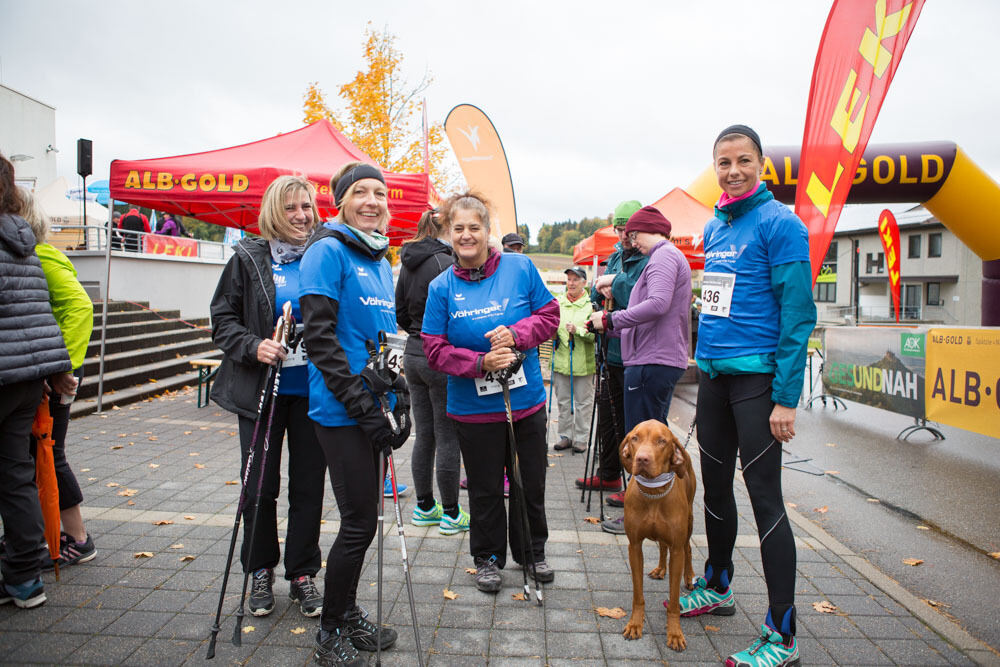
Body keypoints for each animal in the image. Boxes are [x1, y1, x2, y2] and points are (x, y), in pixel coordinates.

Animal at [616, 420, 696, 648]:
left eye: (662, 441)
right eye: (635, 438)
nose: (642, 458)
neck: (653, 493)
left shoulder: (677, 551)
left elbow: (674, 599)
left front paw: (675, 633)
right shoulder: (634, 546)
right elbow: (638, 594)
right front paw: (635, 624)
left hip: (689, 522)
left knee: (687, 548)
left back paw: (689, 576)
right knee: (662, 546)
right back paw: (661, 569)